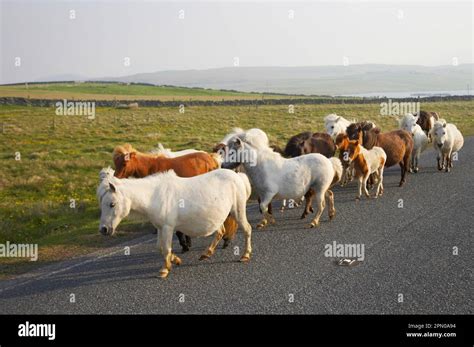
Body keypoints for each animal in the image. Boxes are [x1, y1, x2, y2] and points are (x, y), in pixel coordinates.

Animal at [96, 169, 252, 280]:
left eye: (112, 204)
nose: (104, 229)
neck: (154, 196)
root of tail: (238, 176)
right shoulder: (160, 228)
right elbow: (160, 248)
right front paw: (176, 260)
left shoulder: (167, 227)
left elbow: (166, 248)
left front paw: (164, 270)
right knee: (220, 232)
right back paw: (206, 254)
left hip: (237, 210)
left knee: (247, 229)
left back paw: (245, 255)